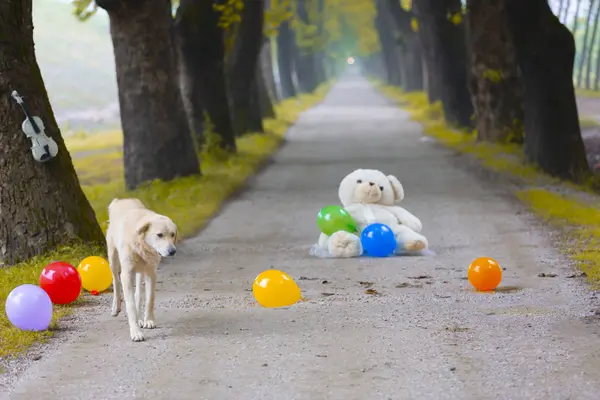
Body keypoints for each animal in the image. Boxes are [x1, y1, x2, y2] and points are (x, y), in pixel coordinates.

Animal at [105, 197, 177, 340]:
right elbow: (131, 305)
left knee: (138, 292)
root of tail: (120, 200)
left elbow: (150, 299)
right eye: (159, 235)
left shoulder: (151, 273)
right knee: (116, 281)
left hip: (140, 271)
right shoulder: (127, 274)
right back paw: (116, 307)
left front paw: (148, 320)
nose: (173, 251)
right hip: (113, 258)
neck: (142, 245)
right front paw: (136, 332)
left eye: (172, 234)